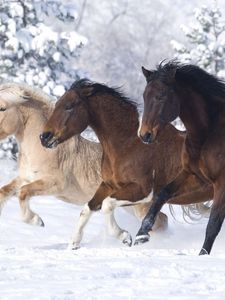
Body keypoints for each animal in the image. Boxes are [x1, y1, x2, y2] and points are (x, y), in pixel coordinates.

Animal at [0, 83, 167, 233]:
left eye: (3, 108)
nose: (45, 139)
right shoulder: (24, 178)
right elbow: (5, 192)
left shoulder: (55, 184)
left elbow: (23, 193)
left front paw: (37, 221)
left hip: (138, 204)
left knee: (159, 221)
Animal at [40, 79, 213, 248]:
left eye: (69, 106)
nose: (44, 137)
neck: (128, 144)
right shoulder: (108, 185)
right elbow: (88, 208)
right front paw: (74, 243)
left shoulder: (143, 190)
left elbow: (107, 205)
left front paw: (125, 237)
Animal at [138, 62, 225, 254]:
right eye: (144, 95)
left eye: (161, 95)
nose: (144, 135)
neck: (209, 132)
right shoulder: (194, 176)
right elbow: (161, 195)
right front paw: (141, 234)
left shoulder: (221, 184)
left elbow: (213, 226)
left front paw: (202, 255)